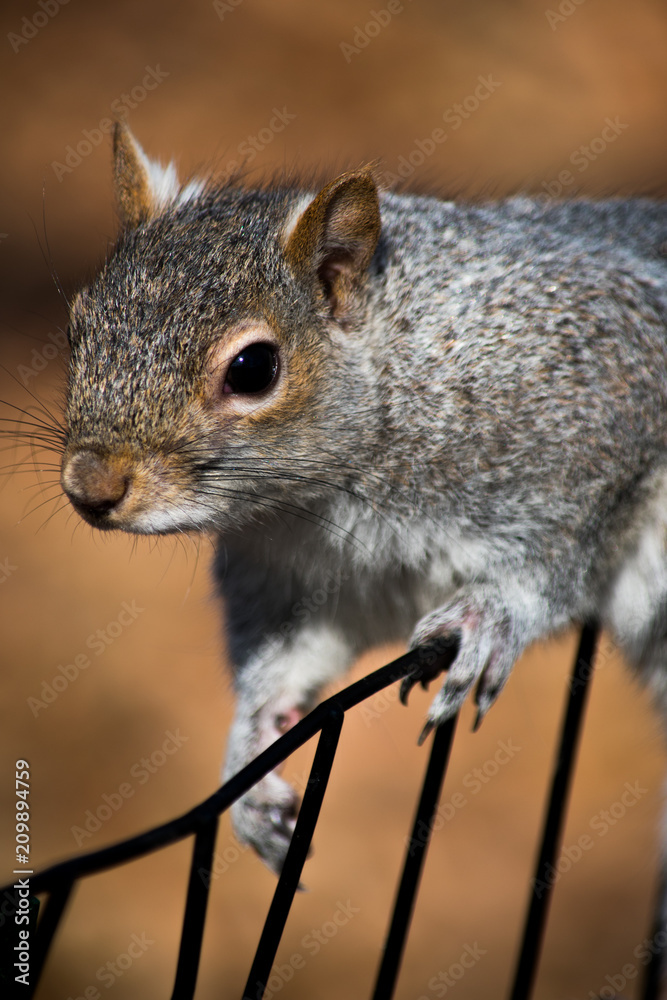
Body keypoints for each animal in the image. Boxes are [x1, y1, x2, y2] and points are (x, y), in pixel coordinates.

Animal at [59, 121, 667, 877]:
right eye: (77, 325)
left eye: (253, 368)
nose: (89, 486)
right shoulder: (307, 584)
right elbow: (288, 660)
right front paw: (250, 751)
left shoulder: (602, 402)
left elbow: (563, 556)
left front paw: (491, 613)